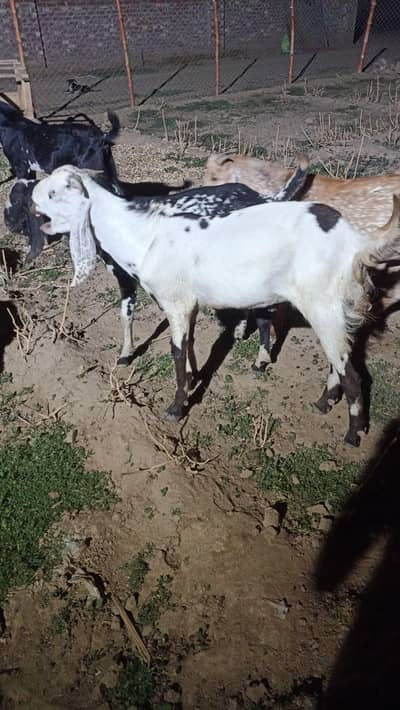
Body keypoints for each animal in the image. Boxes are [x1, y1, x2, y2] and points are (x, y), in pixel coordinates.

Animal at [32, 166, 400, 446]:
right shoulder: (188, 305)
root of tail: (355, 240)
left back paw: (353, 434)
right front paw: (195, 380)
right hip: (333, 308)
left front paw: (176, 408)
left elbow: (177, 353)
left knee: (352, 373)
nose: (31, 196)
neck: (144, 234)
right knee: (339, 359)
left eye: (54, 192)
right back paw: (324, 402)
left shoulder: (176, 302)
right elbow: (190, 347)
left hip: (323, 305)